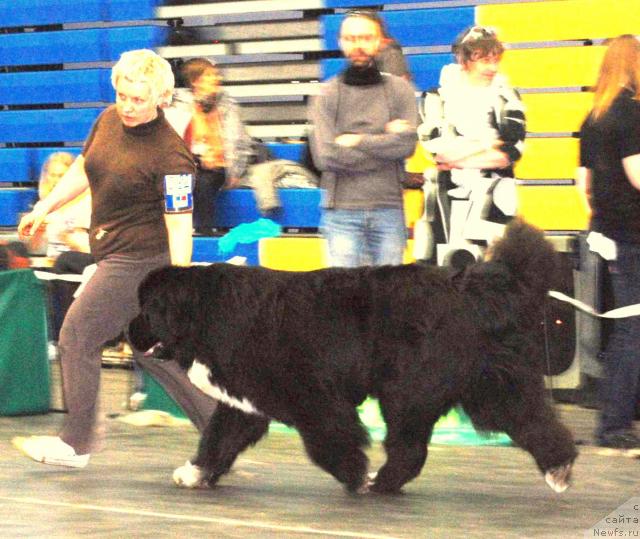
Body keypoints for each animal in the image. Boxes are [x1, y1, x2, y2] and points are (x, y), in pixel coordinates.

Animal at [127, 219, 576, 494]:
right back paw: (560, 468)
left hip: (409, 393)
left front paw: (353, 472)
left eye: (147, 309)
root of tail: (474, 289)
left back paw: (379, 481)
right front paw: (195, 472)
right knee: (534, 422)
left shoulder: (312, 397)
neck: (209, 310)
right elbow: (217, 439)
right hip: (490, 386)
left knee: (410, 449)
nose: (128, 331)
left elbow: (330, 440)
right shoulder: (244, 404)